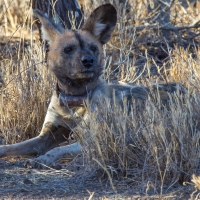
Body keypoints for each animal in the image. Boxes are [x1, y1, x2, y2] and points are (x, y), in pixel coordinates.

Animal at [0, 3, 182, 168]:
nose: (88, 61)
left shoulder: (90, 139)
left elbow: (57, 150)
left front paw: (42, 160)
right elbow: (11, 147)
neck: (74, 100)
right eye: (68, 49)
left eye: (93, 48)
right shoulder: (45, 136)